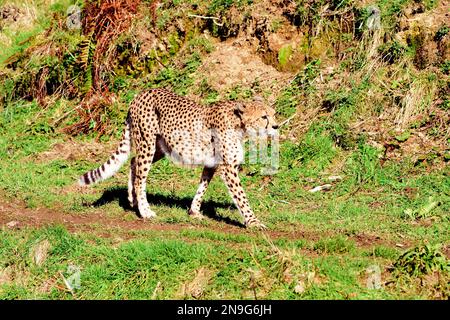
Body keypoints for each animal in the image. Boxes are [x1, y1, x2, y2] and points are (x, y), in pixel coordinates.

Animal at [79, 89, 280, 229]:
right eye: (264, 117)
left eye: (273, 114)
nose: (276, 126)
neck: (239, 124)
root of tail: (141, 93)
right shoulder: (228, 168)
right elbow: (241, 197)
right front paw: (253, 222)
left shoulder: (211, 164)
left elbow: (202, 187)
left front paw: (194, 211)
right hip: (147, 143)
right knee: (140, 178)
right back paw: (145, 211)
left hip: (159, 148)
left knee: (133, 162)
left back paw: (132, 200)